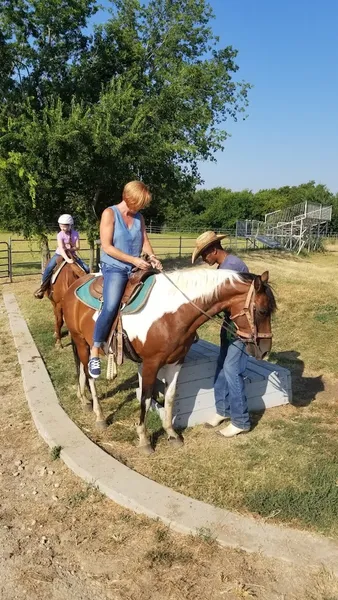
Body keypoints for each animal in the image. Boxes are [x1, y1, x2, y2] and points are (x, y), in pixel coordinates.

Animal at [62, 270, 276, 452]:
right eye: (262, 311)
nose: (265, 350)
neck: (171, 315)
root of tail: (74, 285)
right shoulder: (150, 363)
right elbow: (146, 398)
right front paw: (144, 439)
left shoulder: (175, 362)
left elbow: (171, 396)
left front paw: (172, 434)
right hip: (81, 341)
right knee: (90, 375)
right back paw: (99, 415)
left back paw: (84, 399)